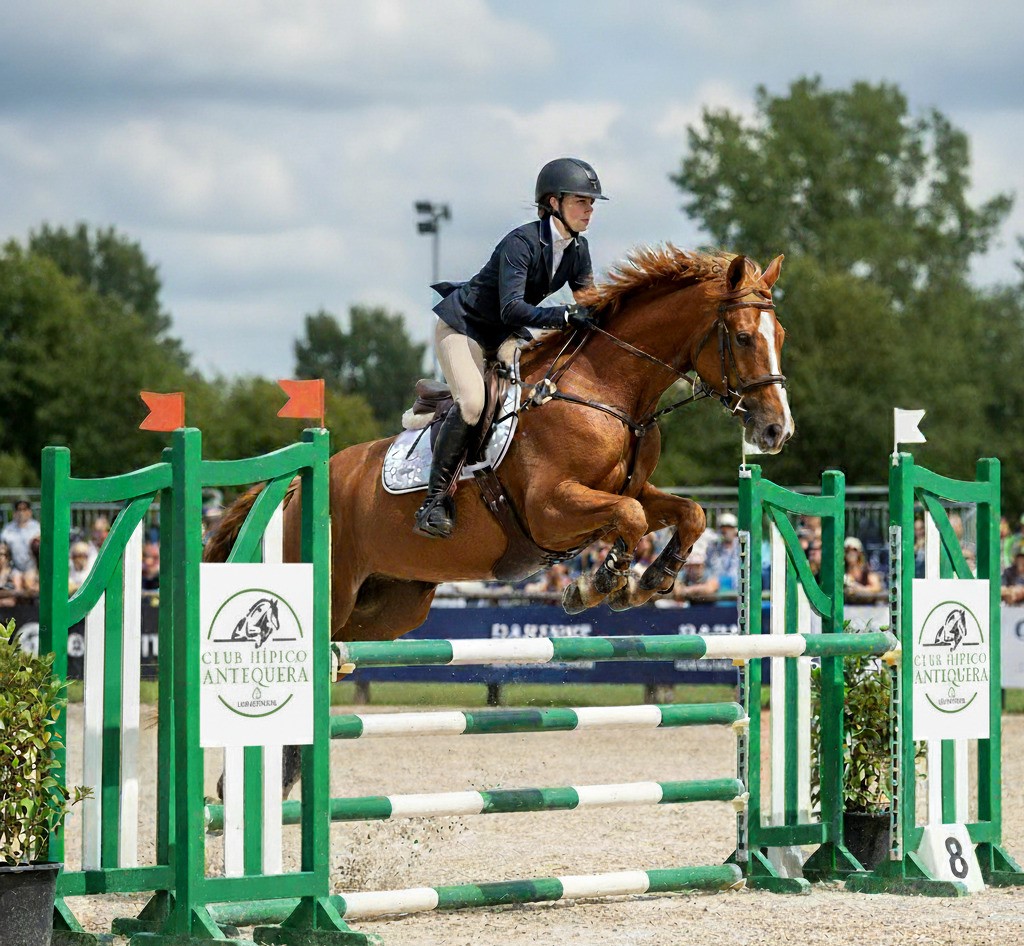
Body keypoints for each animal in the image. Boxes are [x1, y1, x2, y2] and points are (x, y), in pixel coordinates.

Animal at [207, 248, 793, 641]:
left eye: (780, 336)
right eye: (744, 337)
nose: (776, 431)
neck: (606, 391)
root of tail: (290, 493)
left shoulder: (634, 488)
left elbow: (688, 513)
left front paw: (648, 581)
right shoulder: (549, 508)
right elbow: (627, 517)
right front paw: (598, 584)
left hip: (390, 604)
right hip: (332, 587)